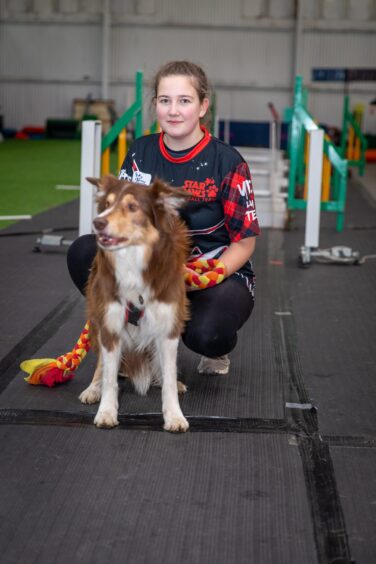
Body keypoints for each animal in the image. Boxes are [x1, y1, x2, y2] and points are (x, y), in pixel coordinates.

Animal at [79, 176, 191, 432]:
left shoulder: (168, 327)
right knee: (101, 364)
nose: (97, 222)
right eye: (107, 204)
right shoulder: (110, 325)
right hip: (97, 319)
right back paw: (93, 388)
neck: (132, 262)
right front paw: (106, 411)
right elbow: (110, 378)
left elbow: (169, 379)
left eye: (132, 207)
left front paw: (174, 415)